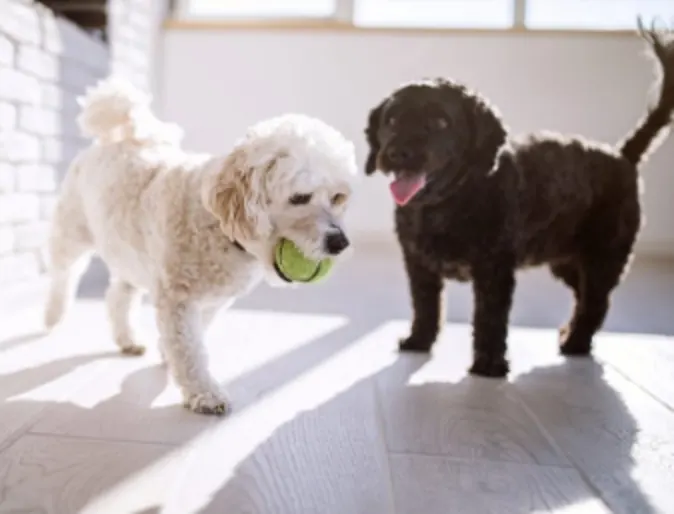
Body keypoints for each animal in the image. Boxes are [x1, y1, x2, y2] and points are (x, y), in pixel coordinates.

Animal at [43, 77, 356, 412]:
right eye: (299, 197)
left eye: (338, 197)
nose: (340, 241)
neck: (217, 224)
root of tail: (112, 139)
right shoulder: (177, 299)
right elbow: (189, 350)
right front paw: (205, 393)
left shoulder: (213, 302)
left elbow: (192, 338)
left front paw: (166, 353)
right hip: (72, 231)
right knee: (62, 273)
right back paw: (53, 315)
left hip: (130, 253)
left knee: (119, 295)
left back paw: (128, 338)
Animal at [364, 21, 668, 376]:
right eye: (391, 120)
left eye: (440, 122)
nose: (397, 153)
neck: (446, 204)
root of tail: (622, 156)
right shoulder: (418, 264)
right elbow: (425, 306)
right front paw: (419, 341)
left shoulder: (494, 269)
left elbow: (490, 318)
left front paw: (489, 364)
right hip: (566, 261)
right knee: (584, 298)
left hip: (603, 256)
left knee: (596, 302)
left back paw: (576, 343)